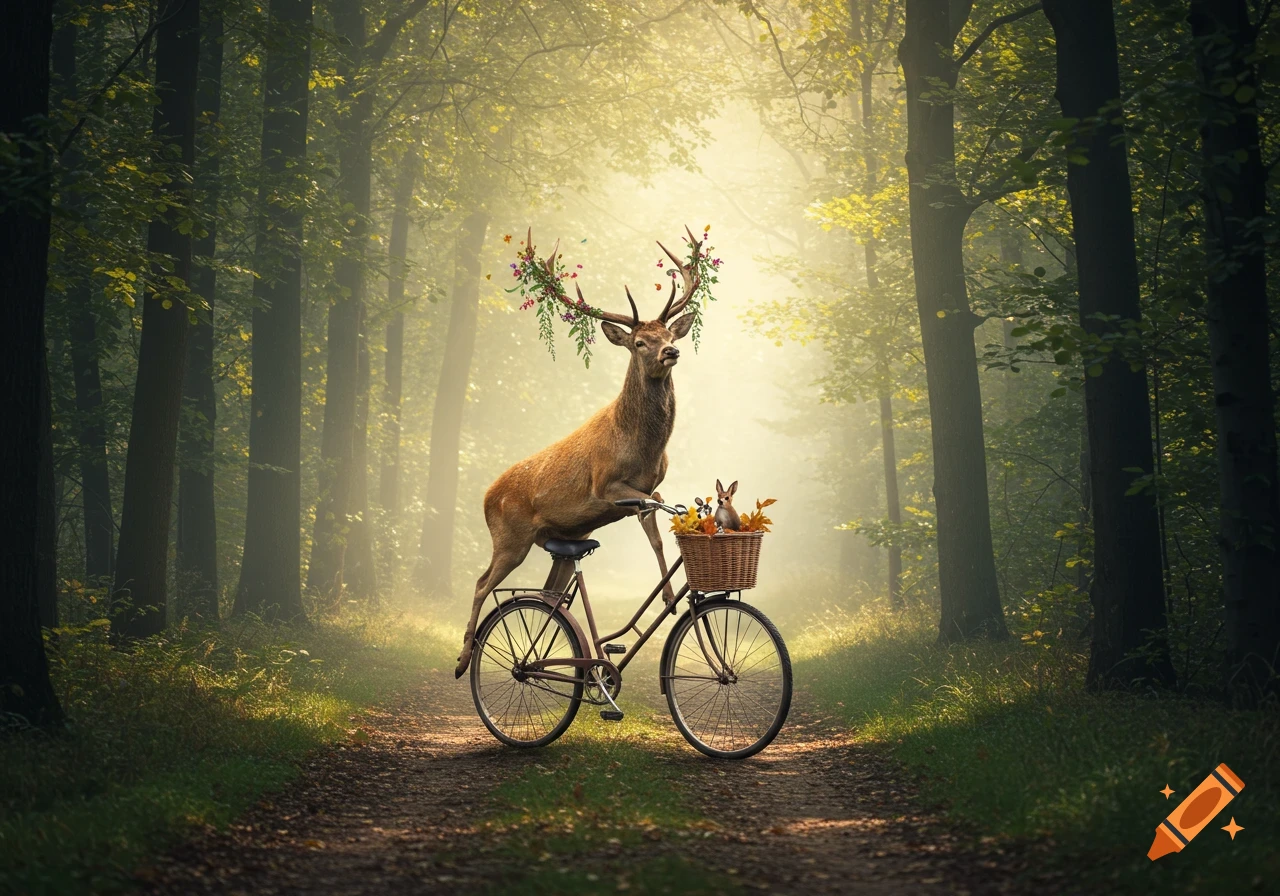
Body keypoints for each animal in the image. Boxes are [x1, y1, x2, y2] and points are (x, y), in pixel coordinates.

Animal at [453, 228, 706, 677]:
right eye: (640, 341)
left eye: (670, 336)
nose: (671, 352)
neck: (640, 447)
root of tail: (485, 496)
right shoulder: (604, 485)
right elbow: (654, 511)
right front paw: (669, 596)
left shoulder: (646, 488)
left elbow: (656, 529)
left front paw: (668, 596)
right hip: (509, 536)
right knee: (483, 583)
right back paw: (464, 660)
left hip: (567, 539)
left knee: (551, 596)